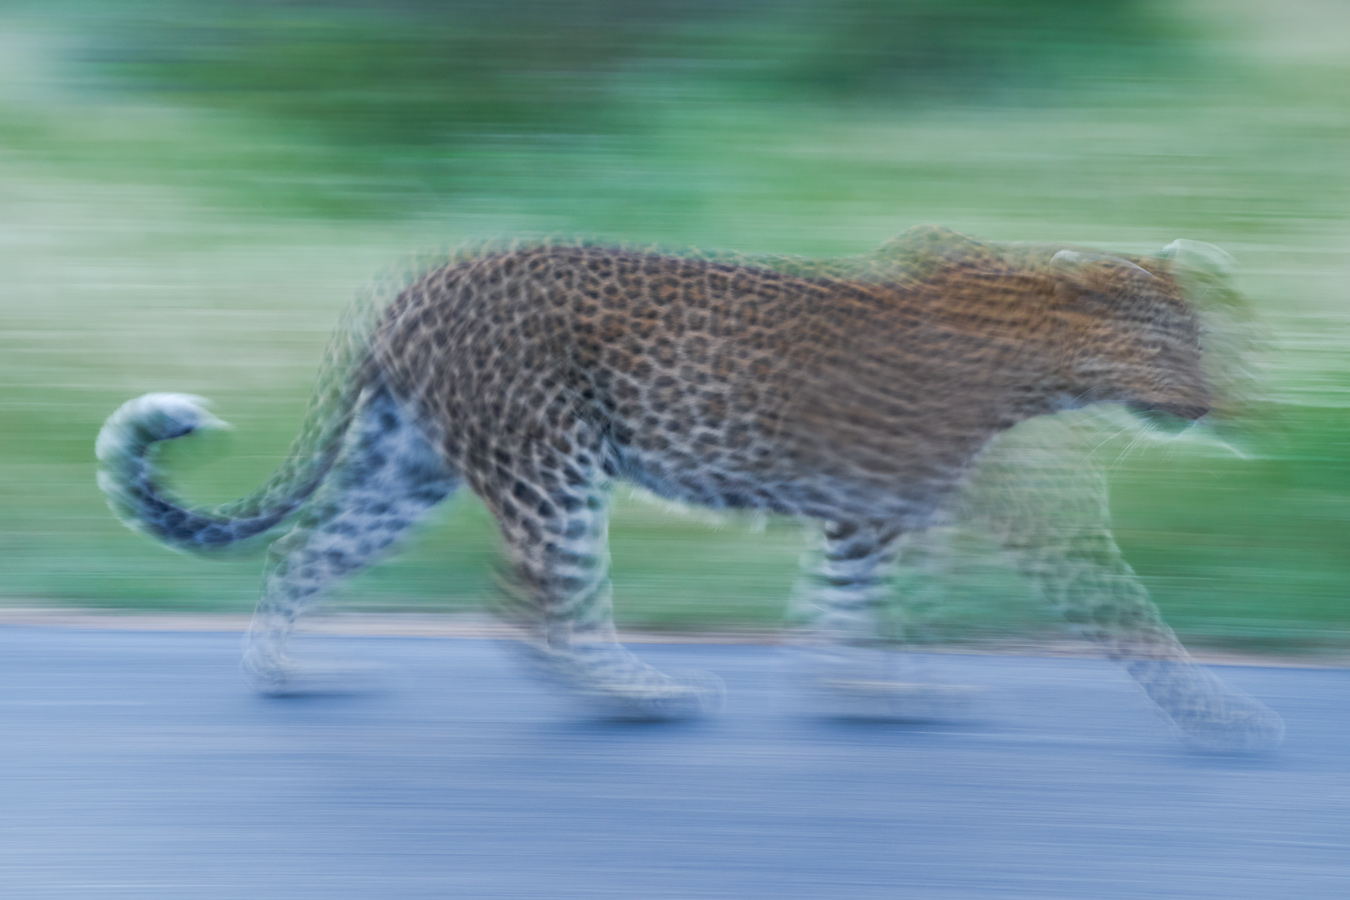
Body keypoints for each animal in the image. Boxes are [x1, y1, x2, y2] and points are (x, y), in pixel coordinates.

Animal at [95, 225, 1283, 750]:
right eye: (1169, 342)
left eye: (1203, 339)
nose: (1215, 404)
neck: (1041, 361)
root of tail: (412, 283)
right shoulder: (918, 514)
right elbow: (1130, 618)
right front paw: (1227, 712)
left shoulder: (882, 515)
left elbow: (859, 613)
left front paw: (880, 693)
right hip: (553, 462)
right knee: (536, 603)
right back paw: (641, 698)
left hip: (408, 469)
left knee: (308, 552)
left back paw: (287, 676)